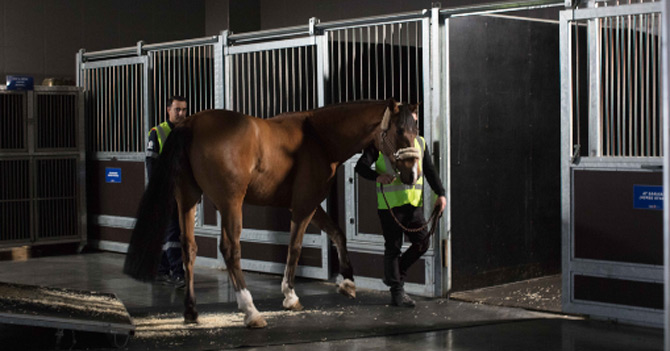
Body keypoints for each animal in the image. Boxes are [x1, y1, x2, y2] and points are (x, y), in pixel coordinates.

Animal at [122, 99, 420, 330]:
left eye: (416, 129)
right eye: (400, 130)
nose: (413, 174)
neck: (319, 138)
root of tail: (191, 124)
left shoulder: (310, 204)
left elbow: (337, 233)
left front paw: (347, 283)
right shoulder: (303, 205)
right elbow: (295, 247)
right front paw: (290, 296)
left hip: (187, 198)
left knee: (189, 249)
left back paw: (191, 312)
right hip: (231, 203)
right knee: (230, 249)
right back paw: (251, 312)